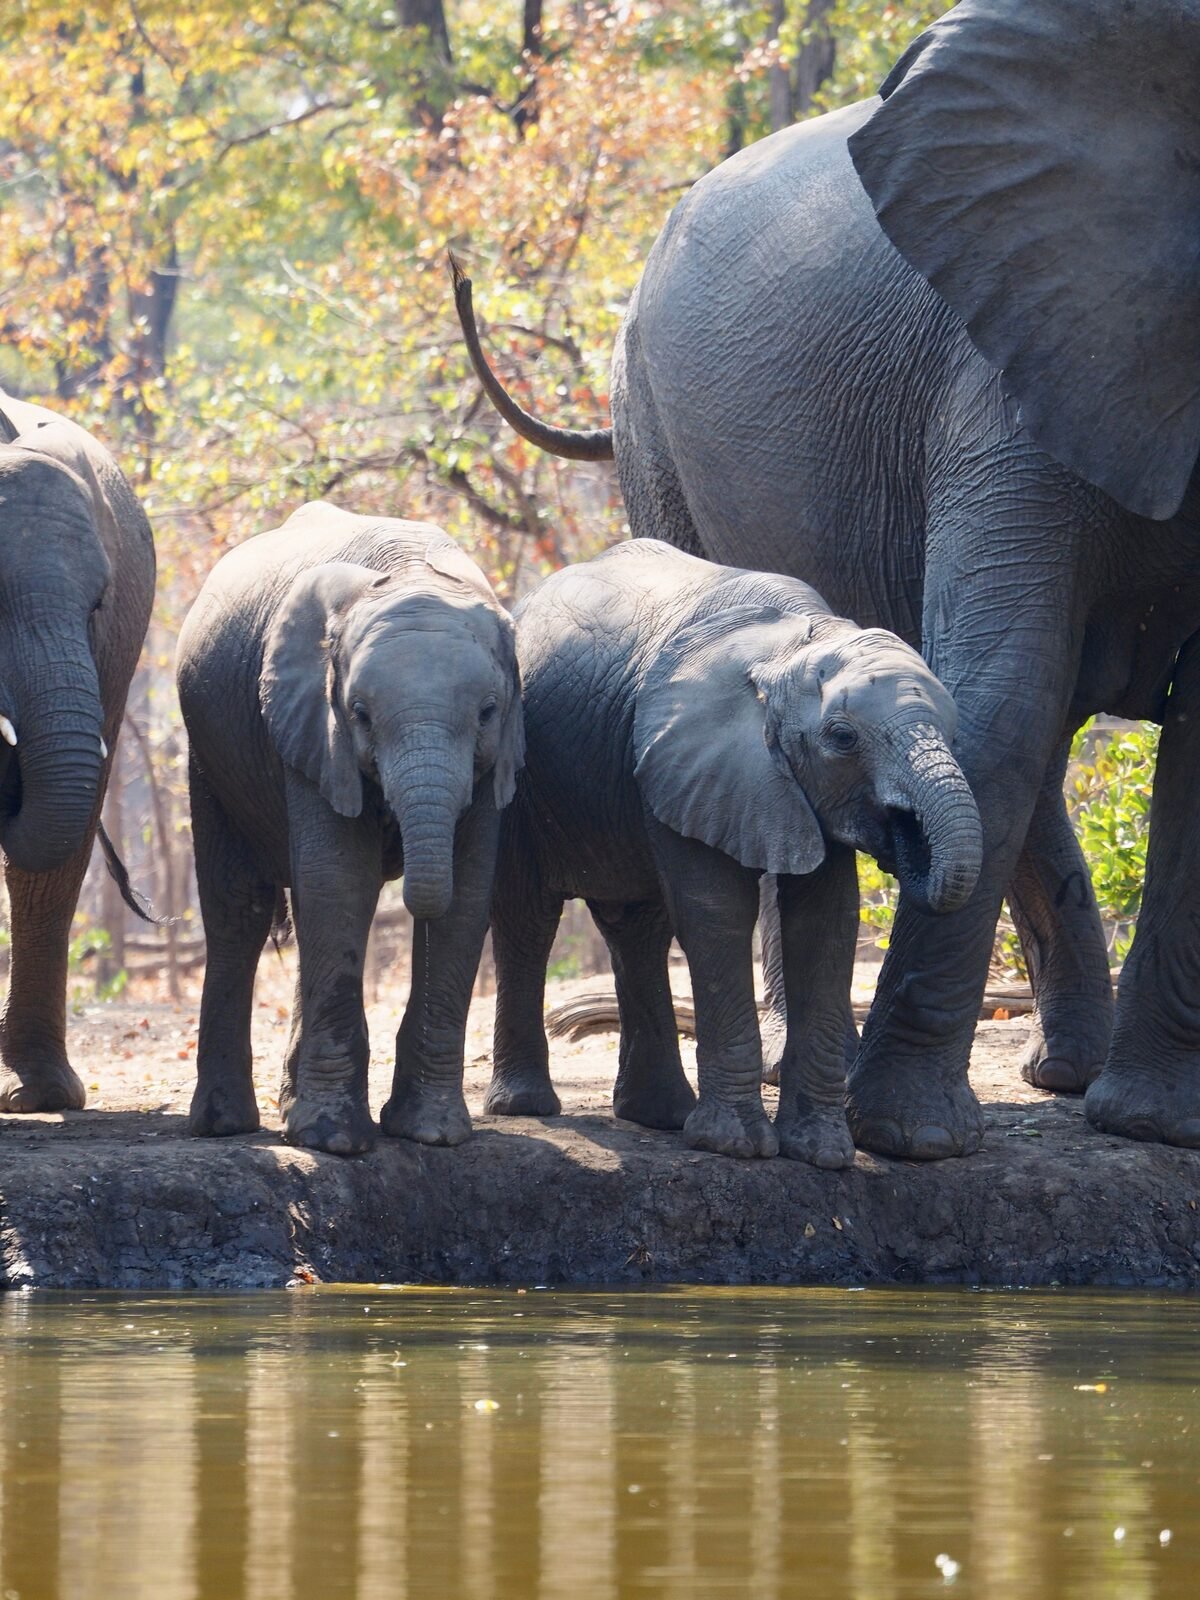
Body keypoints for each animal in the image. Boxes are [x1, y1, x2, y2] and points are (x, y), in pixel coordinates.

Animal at [176, 501, 523, 1156]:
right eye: (359, 714)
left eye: (488, 713)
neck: (415, 576)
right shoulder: (312, 724)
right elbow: (340, 882)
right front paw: (332, 1141)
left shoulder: (497, 757)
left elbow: (467, 892)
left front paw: (431, 1135)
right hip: (209, 756)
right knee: (239, 908)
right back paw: (225, 1124)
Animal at [489, 539, 981, 1164]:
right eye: (843, 738)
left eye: (953, 730)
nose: (902, 835)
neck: (795, 645)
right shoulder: (690, 753)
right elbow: (716, 911)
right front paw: (737, 1146)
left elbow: (825, 921)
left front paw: (822, 1152)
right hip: (518, 780)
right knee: (527, 918)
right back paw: (526, 1106)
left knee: (638, 930)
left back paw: (661, 1115)